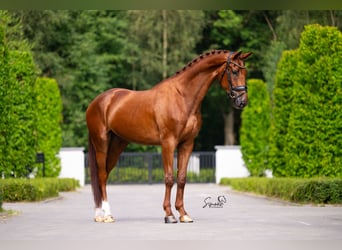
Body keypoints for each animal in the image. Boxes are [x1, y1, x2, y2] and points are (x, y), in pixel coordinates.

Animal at [85, 49, 251, 224]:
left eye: (245, 71)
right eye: (234, 71)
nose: (242, 101)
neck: (182, 97)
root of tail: (98, 102)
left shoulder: (187, 143)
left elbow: (182, 178)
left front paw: (184, 214)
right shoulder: (168, 143)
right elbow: (169, 178)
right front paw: (169, 215)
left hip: (117, 144)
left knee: (104, 175)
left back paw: (99, 214)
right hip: (101, 143)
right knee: (101, 175)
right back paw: (107, 215)